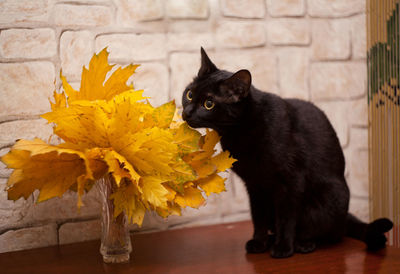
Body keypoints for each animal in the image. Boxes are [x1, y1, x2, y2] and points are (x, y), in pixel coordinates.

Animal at [182, 48, 394, 258]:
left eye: (209, 103)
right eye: (190, 94)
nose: (186, 112)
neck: (241, 130)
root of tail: (345, 217)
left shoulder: (291, 182)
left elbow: (286, 218)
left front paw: (283, 247)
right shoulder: (255, 185)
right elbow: (258, 216)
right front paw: (259, 242)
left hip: (329, 200)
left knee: (326, 233)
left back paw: (303, 244)